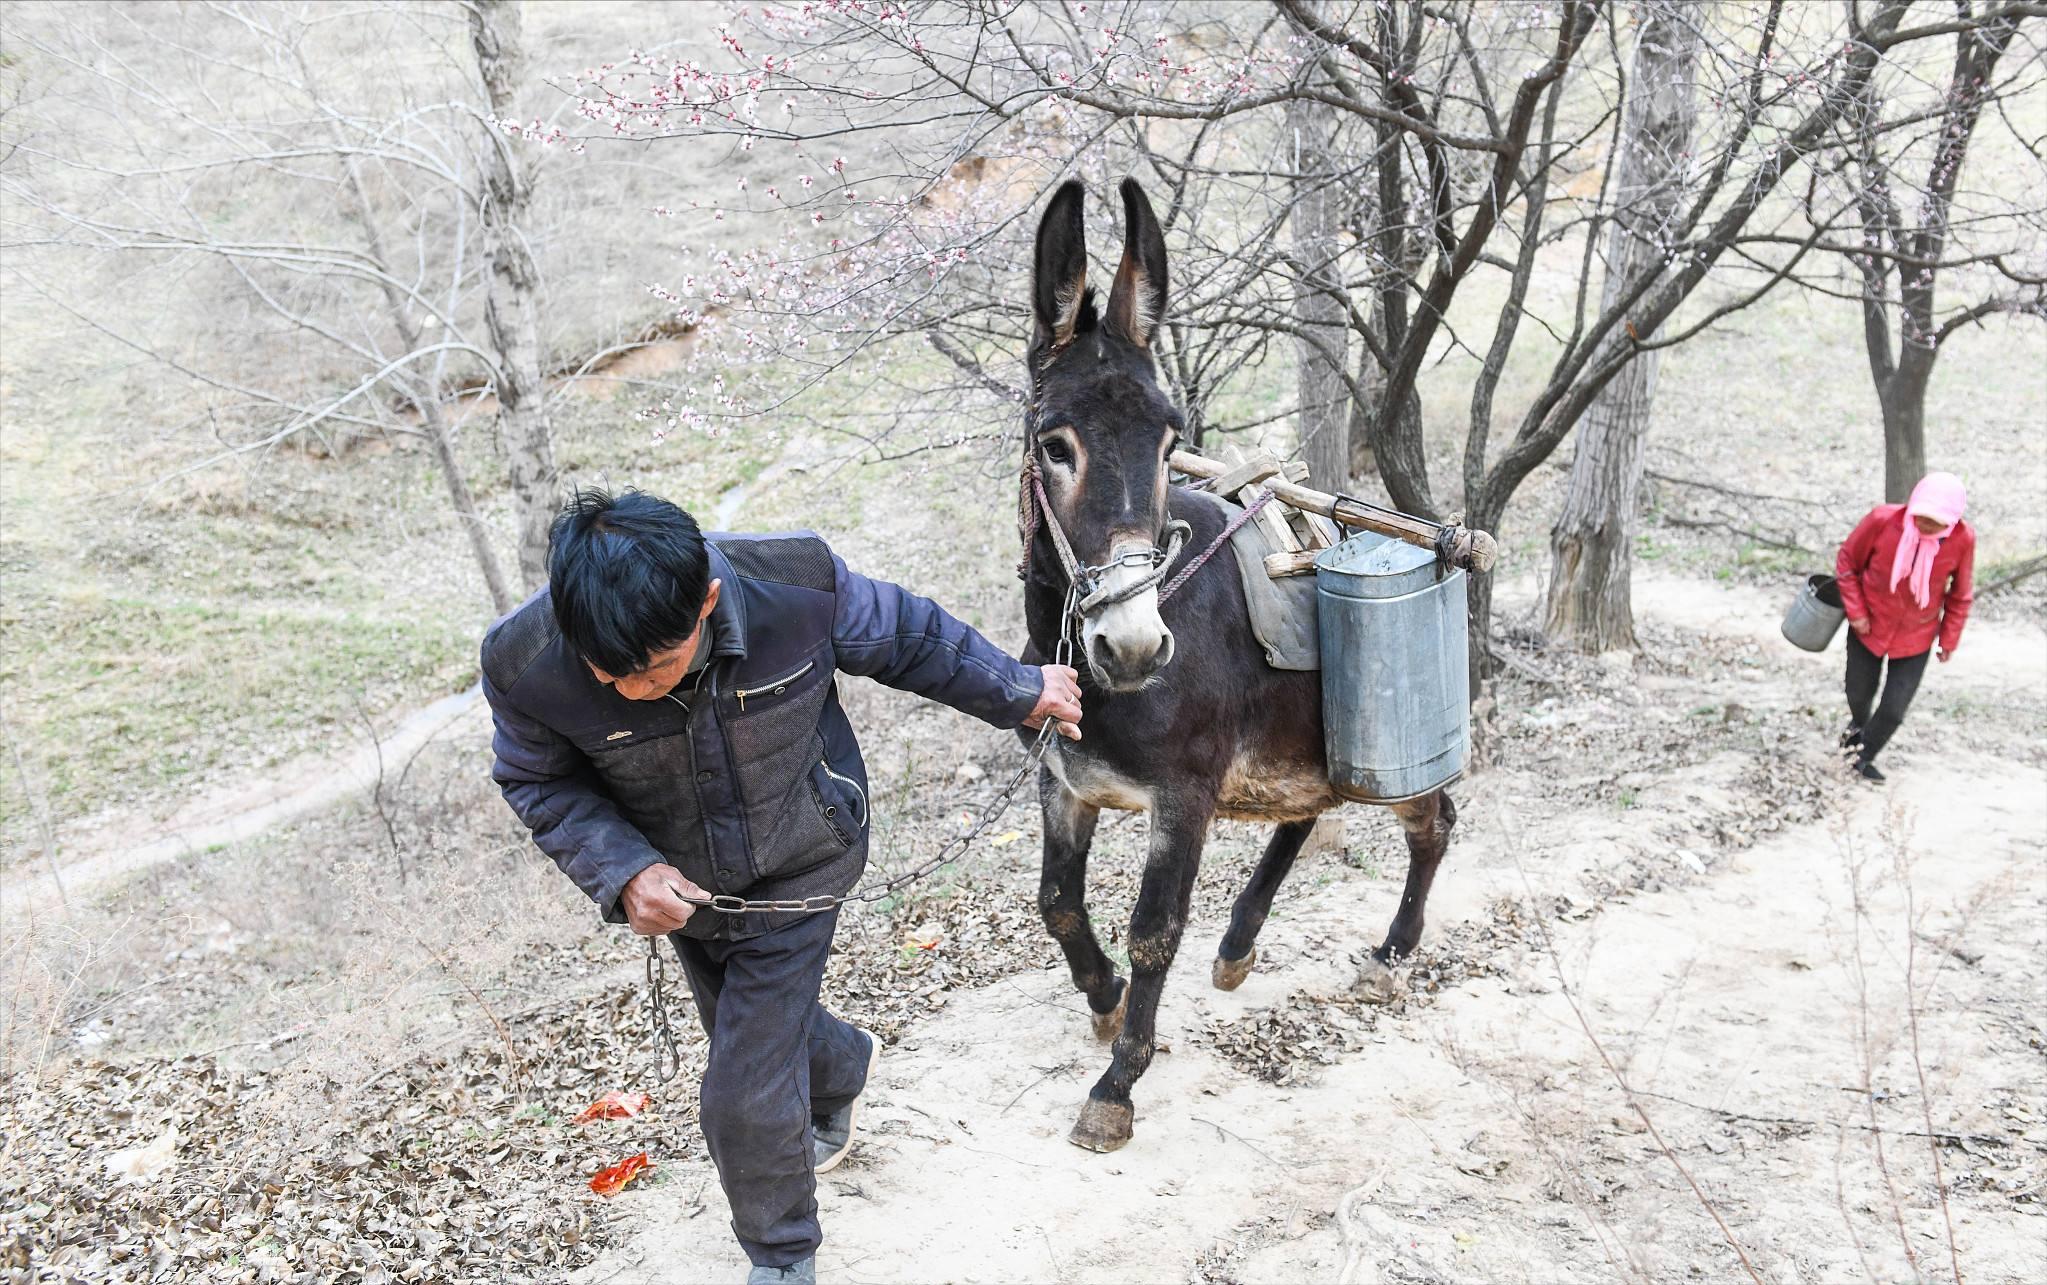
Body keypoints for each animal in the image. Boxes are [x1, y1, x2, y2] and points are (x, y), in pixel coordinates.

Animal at [1015, 178, 1458, 1153]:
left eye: (1166, 440)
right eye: (1054, 444)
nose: (1133, 645)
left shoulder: (1182, 795)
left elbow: (1153, 929)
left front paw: (1116, 1085)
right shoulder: (1064, 783)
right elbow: (1057, 900)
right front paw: (1103, 998)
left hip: (1391, 753)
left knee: (1431, 824)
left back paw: (1391, 952)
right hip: (1306, 750)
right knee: (1307, 813)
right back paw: (1237, 944)